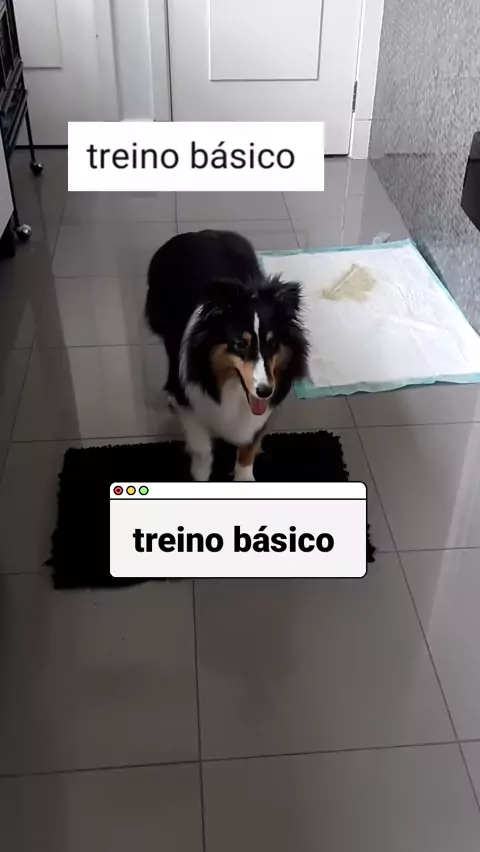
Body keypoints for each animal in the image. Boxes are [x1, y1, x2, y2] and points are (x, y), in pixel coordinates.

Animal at [145, 230, 309, 481]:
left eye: (273, 344)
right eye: (240, 344)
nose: (265, 391)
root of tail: (201, 232)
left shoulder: (258, 415)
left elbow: (249, 446)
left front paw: (244, 477)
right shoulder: (190, 400)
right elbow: (201, 446)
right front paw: (200, 474)